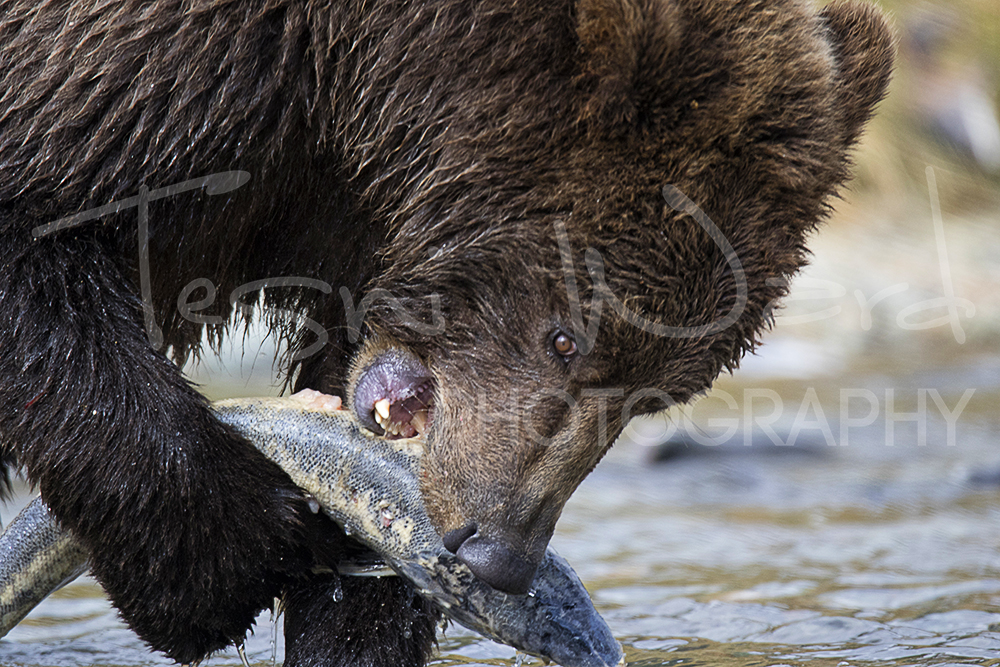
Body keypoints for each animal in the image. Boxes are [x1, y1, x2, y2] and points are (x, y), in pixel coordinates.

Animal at [0, 0, 893, 665]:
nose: (500, 552)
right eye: (566, 338)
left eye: (655, 395)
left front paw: (348, 618)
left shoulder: (344, 216)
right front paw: (211, 564)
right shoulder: (157, 72)